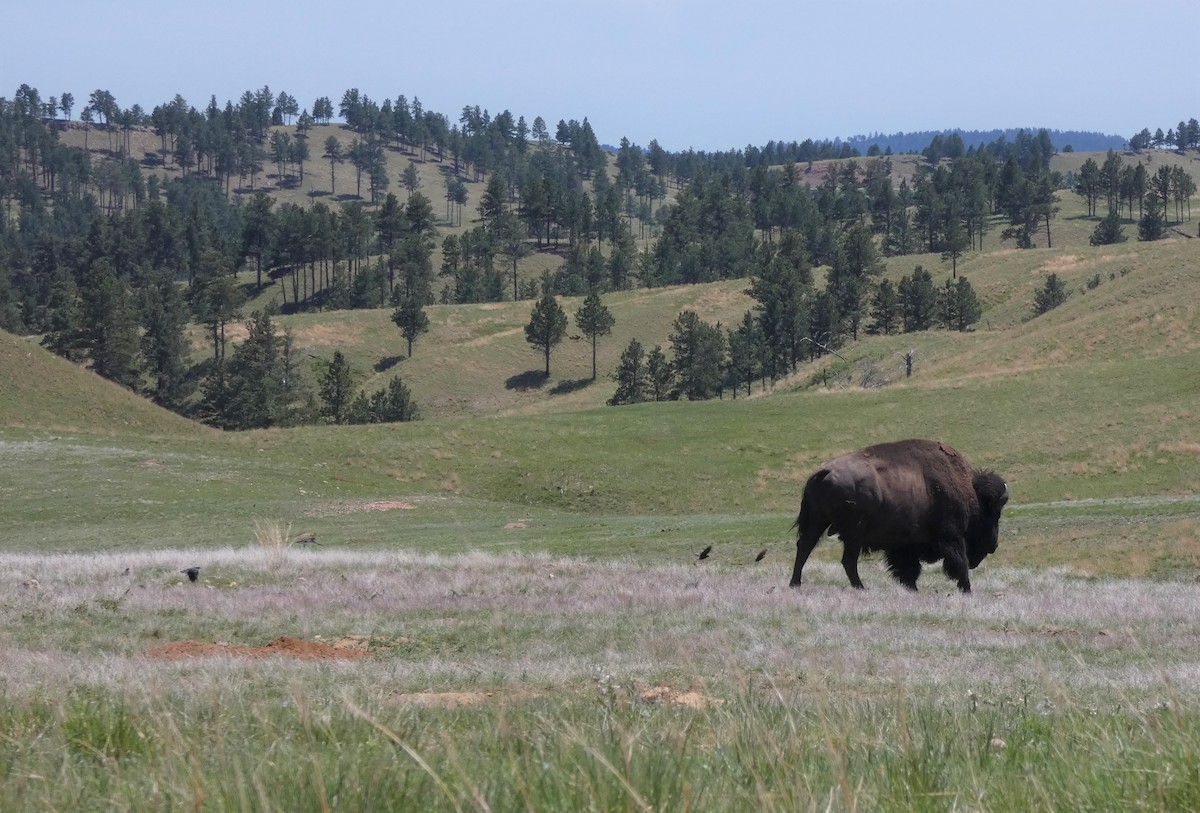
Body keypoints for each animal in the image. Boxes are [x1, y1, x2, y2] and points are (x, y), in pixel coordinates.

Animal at [792, 443, 1008, 594]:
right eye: (994, 514)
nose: (994, 545)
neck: (971, 492)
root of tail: (824, 472)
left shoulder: (905, 545)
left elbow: (909, 569)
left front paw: (912, 589)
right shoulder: (952, 537)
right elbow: (959, 564)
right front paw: (967, 589)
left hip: (818, 522)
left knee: (805, 548)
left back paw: (795, 584)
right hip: (852, 534)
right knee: (848, 560)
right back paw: (861, 588)